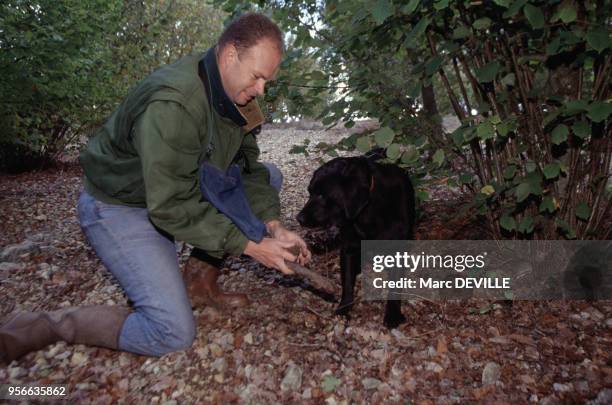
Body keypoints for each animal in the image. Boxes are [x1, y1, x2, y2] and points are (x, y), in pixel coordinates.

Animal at [296, 153, 416, 326]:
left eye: (321, 194)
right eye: (310, 192)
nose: (299, 218)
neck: (368, 212)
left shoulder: (397, 250)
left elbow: (394, 285)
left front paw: (392, 315)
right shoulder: (349, 248)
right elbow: (347, 283)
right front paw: (344, 308)